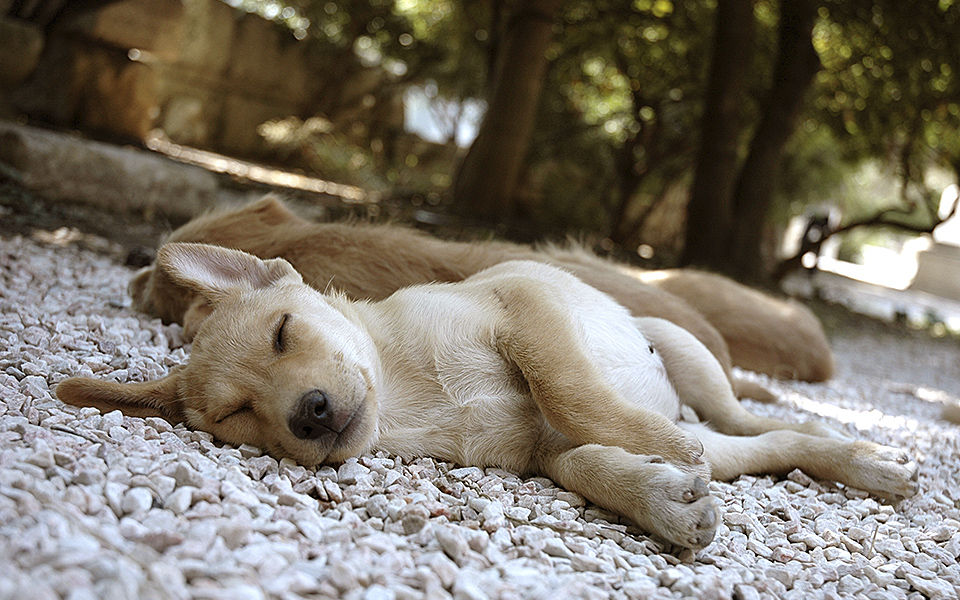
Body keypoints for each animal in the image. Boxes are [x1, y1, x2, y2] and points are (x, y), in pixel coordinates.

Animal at [56, 243, 920, 548]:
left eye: (282, 332)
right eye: (236, 417)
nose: (311, 413)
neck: (413, 393)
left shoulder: (521, 309)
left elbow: (570, 390)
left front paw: (660, 450)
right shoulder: (543, 455)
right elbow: (591, 462)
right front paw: (663, 498)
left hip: (686, 352)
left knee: (752, 415)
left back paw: (869, 451)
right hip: (729, 438)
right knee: (775, 444)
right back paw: (869, 467)